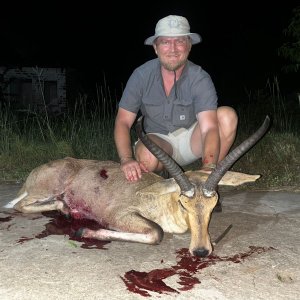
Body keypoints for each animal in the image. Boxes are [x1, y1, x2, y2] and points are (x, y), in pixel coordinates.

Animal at [3, 116, 270, 256]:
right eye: (184, 202)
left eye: (213, 203)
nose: (202, 251)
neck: (160, 201)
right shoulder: (119, 215)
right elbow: (156, 232)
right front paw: (85, 231)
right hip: (45, 189)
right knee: (18, 206)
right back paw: (66, 210)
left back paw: (67, 210)